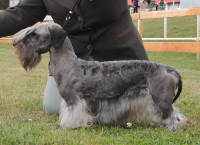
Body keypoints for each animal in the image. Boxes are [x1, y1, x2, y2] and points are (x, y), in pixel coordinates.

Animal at [12, 23, 186, 130]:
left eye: (34, 34)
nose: (15, 44)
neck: (70, 63)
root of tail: (168, 69)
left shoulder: (73, 100)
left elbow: (71, 116)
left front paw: (70, 126)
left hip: (161, 99)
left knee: (175, 116)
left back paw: (173, 127)